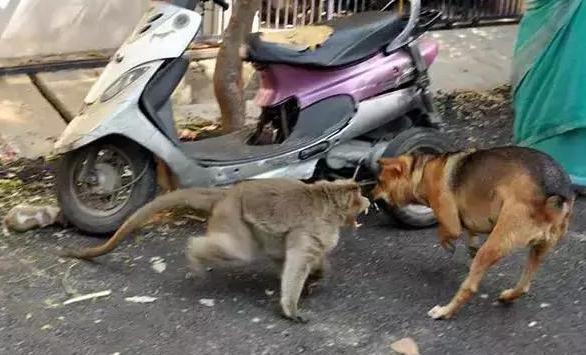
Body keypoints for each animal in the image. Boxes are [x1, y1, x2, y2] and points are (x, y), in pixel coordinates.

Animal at [64, 178, 370, 322]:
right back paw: (193, 254)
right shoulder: (313, 227)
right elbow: (296, 260)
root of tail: (227, 193)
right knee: (238, 252)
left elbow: (294, 257)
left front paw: (318, 276)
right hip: (233, 215)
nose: (368, 201)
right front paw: (291, 308)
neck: (329, 201)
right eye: (360, 197)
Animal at [372, 146, 572, 322]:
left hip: (492, 247)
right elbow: (471, 234)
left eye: (380, 182)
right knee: (524, 286)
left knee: (470, 287)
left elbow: (444, 231)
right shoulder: (475, 220)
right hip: (539, 250)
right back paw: (507, 296)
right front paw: (469, 248)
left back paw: (445, 311)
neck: (422, 171)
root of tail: (554, 197)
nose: (370, 194)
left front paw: (448, 243)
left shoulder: (451, 221)